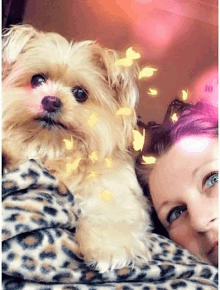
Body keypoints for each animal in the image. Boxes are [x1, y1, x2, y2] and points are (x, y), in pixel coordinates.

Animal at [2, 24, 151, 272]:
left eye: (81, 93)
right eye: (37, 80)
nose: (51, 101)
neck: (55, 147)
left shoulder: (113, 188)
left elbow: (110, 212)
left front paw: (109, 248)